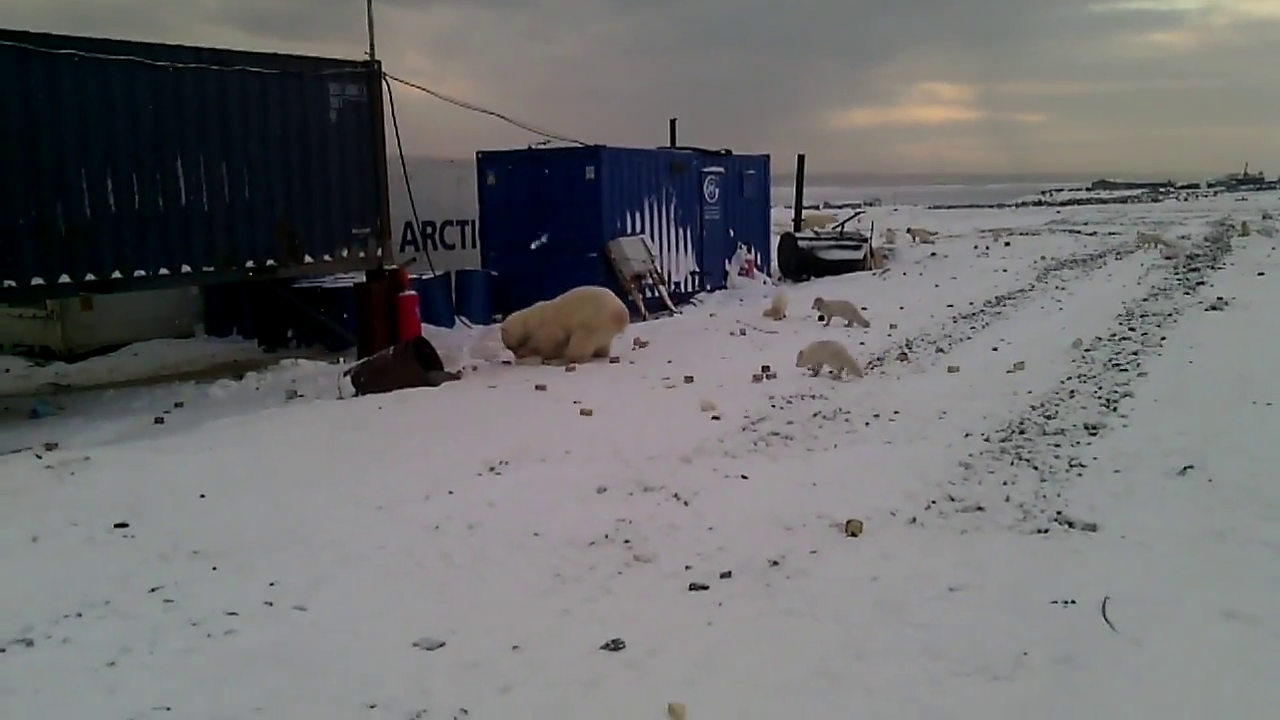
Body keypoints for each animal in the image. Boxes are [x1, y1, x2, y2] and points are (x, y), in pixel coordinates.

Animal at [499, 284, 629, 363]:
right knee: (601, 345)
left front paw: (533, 352)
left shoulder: (546, 326)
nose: (517, 355)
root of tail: (622, 314)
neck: (528, 319)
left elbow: (548, 342)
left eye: (511, 347)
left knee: (579, 345)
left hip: (595, 322)